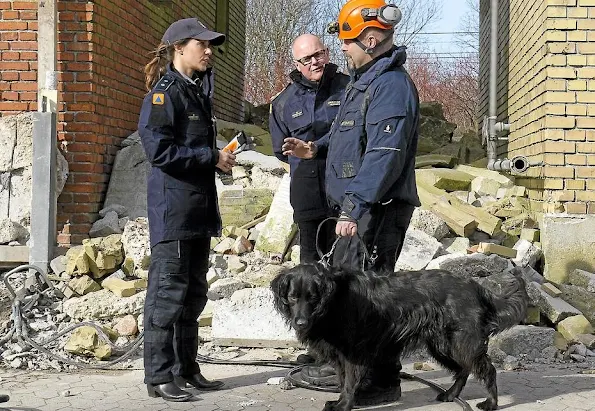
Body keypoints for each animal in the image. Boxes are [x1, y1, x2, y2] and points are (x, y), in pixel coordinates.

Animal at [270, 264, 528, 411]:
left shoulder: (354, 352)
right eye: (292, 297)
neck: (334, 300)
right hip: (442, 344)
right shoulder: (341, 354)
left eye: (313, 298)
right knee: (464, 369)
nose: (301, 323)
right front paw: (345, 402)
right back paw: (450, 394)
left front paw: (343, 405)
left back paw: (491, 404)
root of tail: (477, 287)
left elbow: (349, 382)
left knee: (487, 369)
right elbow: (343, 380)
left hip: (461, 341)